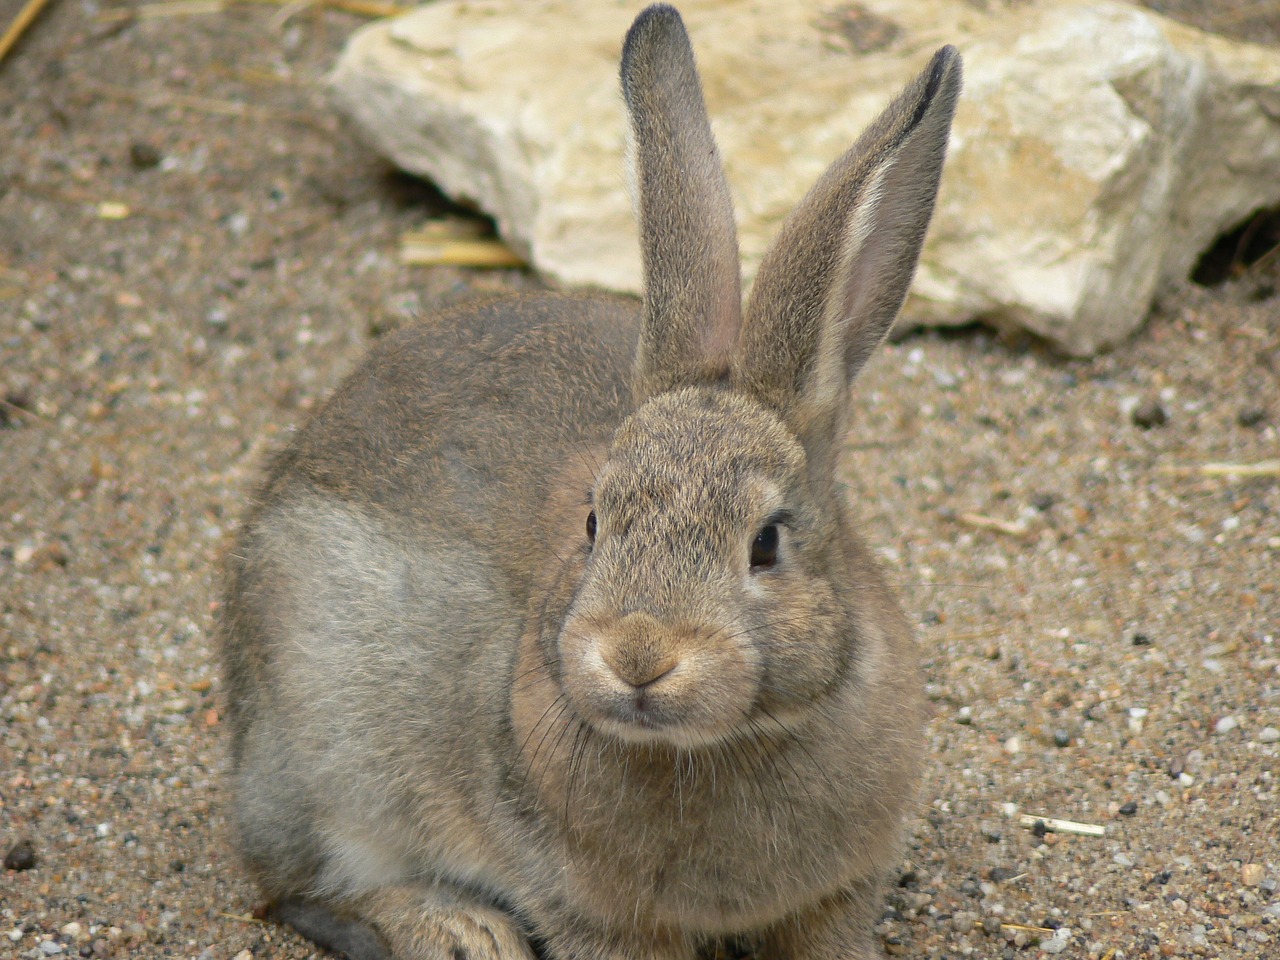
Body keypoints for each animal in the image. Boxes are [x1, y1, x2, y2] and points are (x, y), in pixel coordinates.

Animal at [220, 3, 962, 957]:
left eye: (766, 543)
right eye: (594, 522)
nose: (638, 656)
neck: (716, 745)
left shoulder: (837, 894)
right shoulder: (590, 913)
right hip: (325, 739)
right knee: (295, 888)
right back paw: (459, 930)